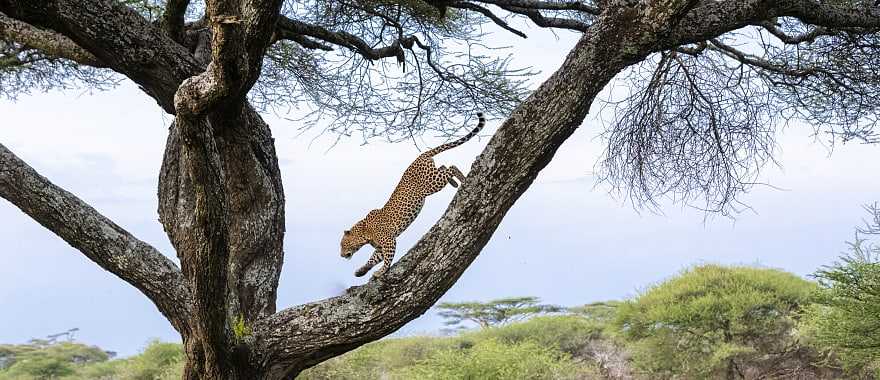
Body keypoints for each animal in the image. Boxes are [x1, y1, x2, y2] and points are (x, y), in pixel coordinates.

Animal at [338, 113, 488, 280]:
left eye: (342, 245)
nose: (341, 255)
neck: (364, 232)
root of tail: (421, 155)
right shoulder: (381, 247)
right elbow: (373, 259)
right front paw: (361, 270)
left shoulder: (389, 241)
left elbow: (387, 259)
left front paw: (381, 272)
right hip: (433, 176)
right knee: (443, 167)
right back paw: (455, 183)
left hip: (431, 183)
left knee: (451, 167)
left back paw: (462, 180)